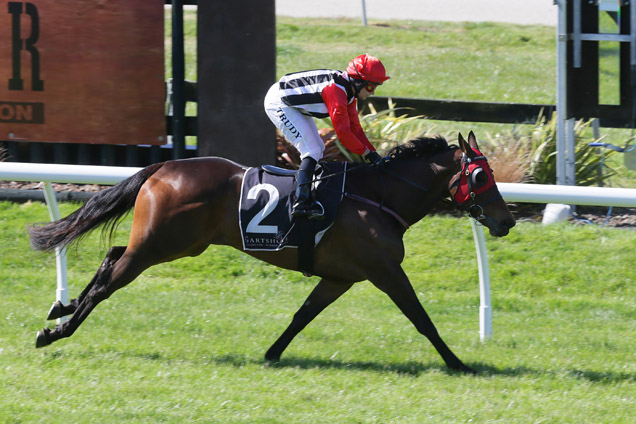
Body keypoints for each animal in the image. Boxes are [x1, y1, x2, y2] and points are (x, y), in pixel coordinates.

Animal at [31, 131, 516, 372]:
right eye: (480, 176)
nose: (506, 221)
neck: (379, 197)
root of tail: (165, 164)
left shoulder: (340, 277)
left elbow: (302, 316)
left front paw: (272, 353)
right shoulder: (384, 271)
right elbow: (422, 319)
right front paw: (458, 363)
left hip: (170, 243)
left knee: (112, 257)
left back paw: (61, 306)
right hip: (160, 245)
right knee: (109, 282)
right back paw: (56, 331)